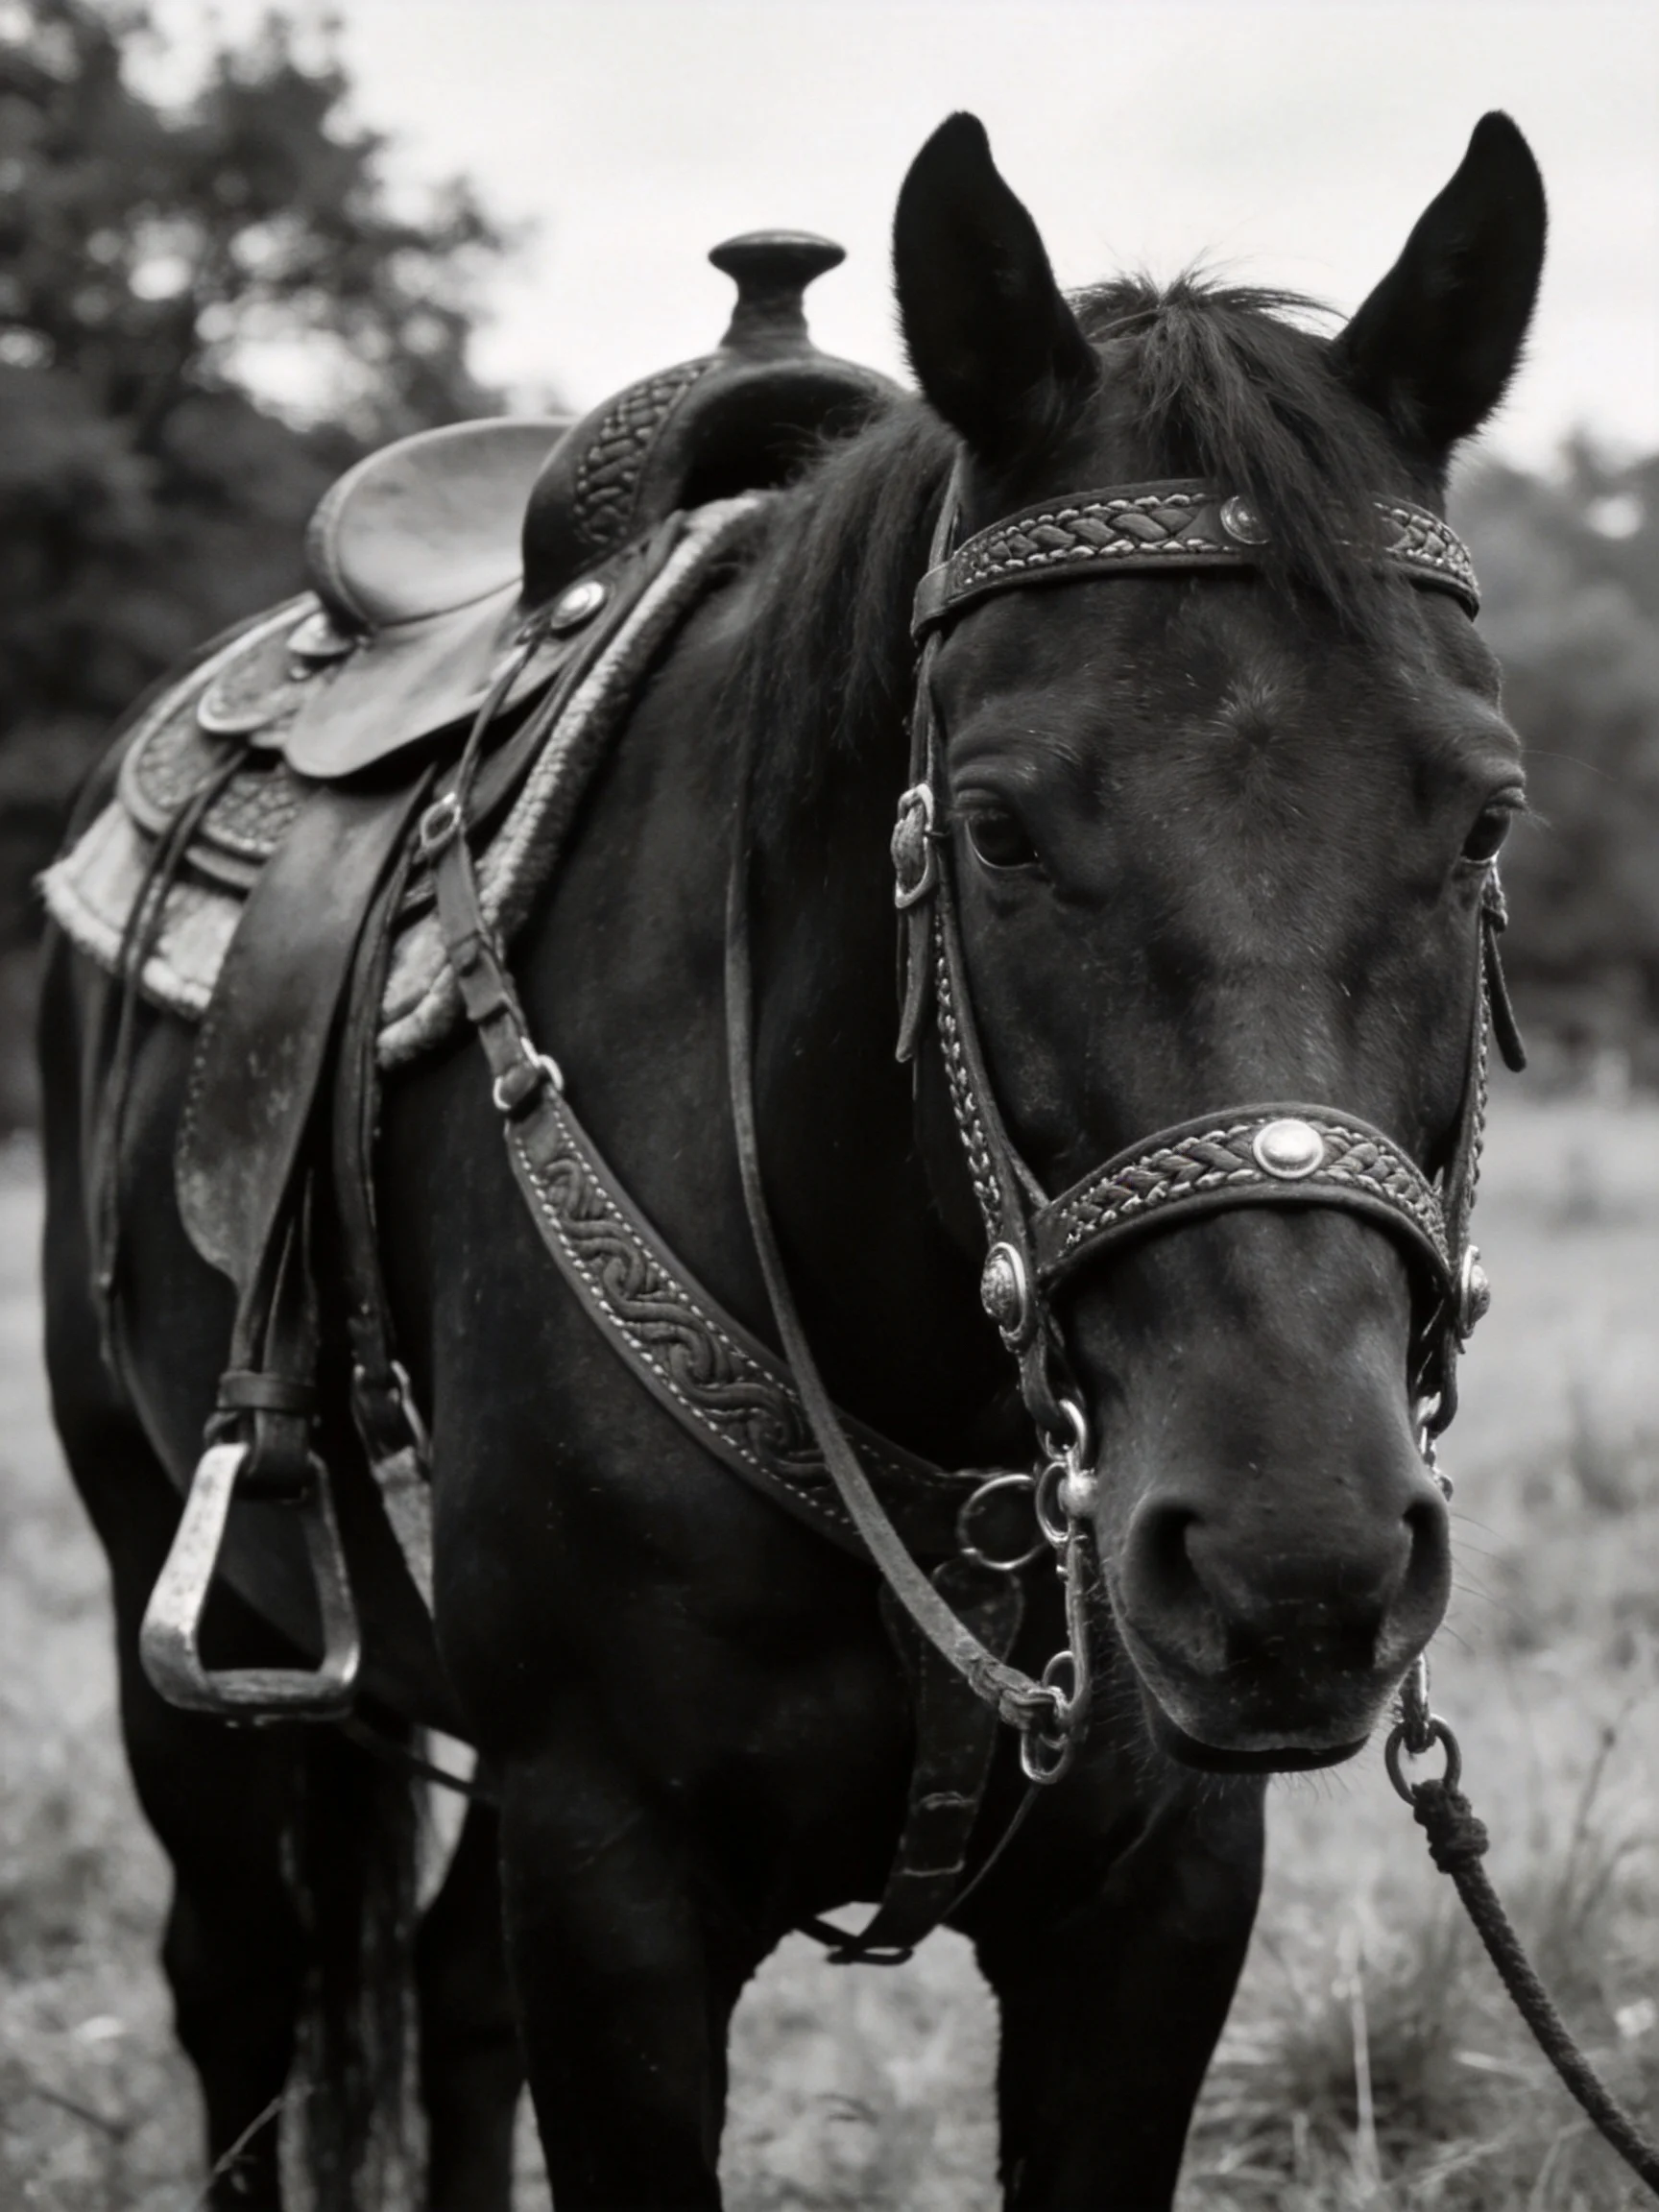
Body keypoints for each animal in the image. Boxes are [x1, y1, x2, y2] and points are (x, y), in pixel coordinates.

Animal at [37, 107, 1545, 2210]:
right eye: (992, 826)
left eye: (1483, 818)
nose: (1293, 1561)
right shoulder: (615, 1882)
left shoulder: (1158, 1898)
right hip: (175, 1610)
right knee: (239, 1989)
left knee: (447, 2000)